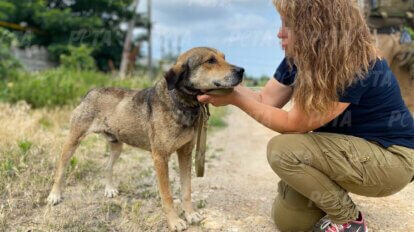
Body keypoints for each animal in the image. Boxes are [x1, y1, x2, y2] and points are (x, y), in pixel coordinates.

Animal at [47, 46, 244, 230]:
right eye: (210, 61)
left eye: (224, 57)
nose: (241, 70)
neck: (182, 102)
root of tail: (92, 91)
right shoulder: (160, 158)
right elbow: (167, 195)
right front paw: (174, 222)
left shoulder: (186, 153)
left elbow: (187, 189)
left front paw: (190, 214)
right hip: (73, 140)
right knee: (60, 168)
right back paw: (54, 195)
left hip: (117, 145)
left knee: (107, 166)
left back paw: (109, 189)